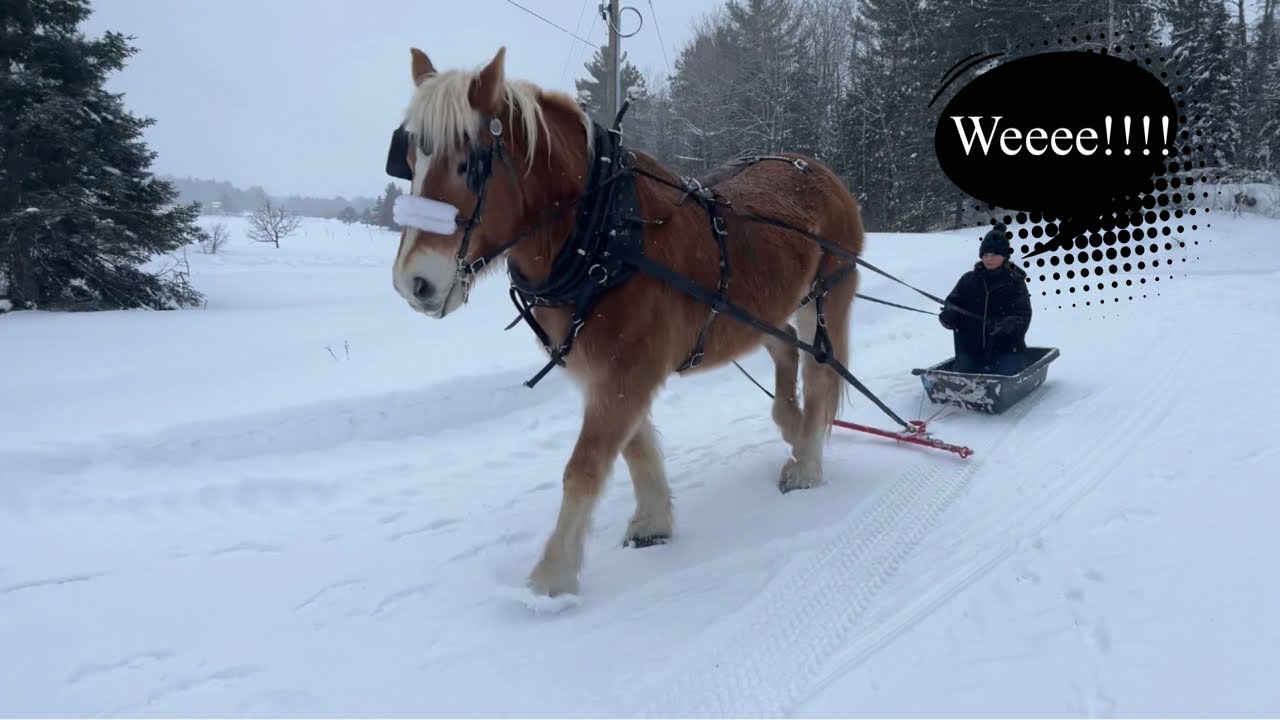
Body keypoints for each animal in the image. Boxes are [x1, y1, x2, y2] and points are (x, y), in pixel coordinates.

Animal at [389, 46, 867, 598]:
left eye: (470, 165)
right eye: (409, 162)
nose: (414, 283)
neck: (604, 237)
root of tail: (821, 170)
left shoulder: (627, 371)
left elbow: (586, 465)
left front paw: (552, 577)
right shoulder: (607, 371)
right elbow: (634, 447)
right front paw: (654, 521)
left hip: (826, 298)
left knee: (820, 372)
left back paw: (806, 463)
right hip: (762, 309)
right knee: (785, 346)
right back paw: (792, 425)